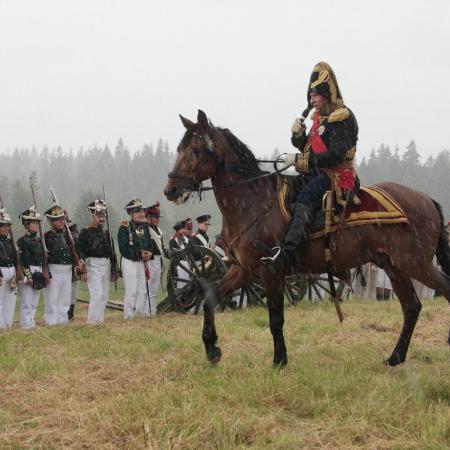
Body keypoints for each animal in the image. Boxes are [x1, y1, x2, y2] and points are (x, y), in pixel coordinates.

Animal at [163, 110, 450, 368]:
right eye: (179, 148)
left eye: (196, 150)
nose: (171, 190)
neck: (254, 201)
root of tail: (426, 200)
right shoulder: (243, 269)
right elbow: (210, 298)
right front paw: (212, 349)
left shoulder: (271, 271)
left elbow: (275, 318)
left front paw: (279, 360)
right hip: (394, 266)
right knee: (411, 307)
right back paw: (395, 358)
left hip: (415, 264)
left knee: (441, 290)